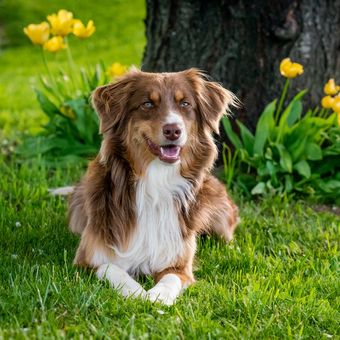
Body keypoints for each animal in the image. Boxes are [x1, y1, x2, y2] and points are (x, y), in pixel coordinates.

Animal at [67, 67, 239, 304]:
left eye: (185, 104)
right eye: (147, 104)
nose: (173, 130)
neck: (156, 181)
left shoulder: (179, 264)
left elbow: (171, 279)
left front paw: (158, 296)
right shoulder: (86, 260)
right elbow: (112, 269)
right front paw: (136, 292)